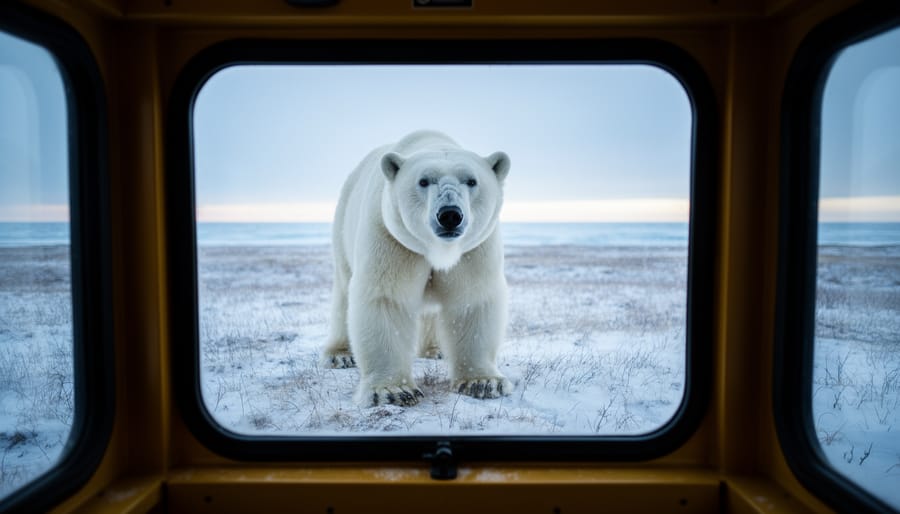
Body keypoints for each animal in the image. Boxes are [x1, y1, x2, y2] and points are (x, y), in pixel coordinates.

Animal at [321, 130, 513, 407]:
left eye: (471, 181)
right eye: (423, 181)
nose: (450, 215)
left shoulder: (473, 251)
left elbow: (471, 300)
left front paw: (484, 382)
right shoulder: (391, 238)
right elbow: (386, 299)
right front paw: (392, 390)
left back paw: (435, 350)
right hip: (344, 224)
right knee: (344, 293)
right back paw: (340, 354)